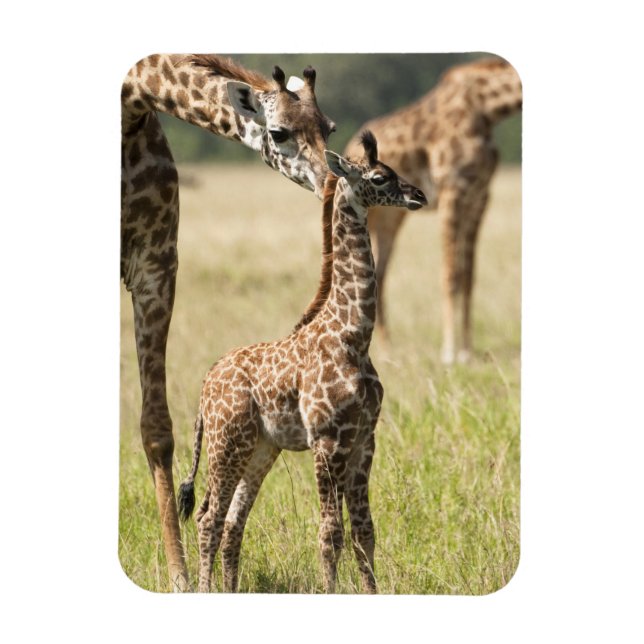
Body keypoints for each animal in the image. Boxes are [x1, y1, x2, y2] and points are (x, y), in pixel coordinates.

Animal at [121, 54, 335, 591]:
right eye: (279, 131)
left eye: (329, 127)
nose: (333, 179)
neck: (129, 107)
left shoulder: (155, 261)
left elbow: (157, 425)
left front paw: (178, 575)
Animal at [177, 131, 427, 593]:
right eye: (380, 178)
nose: (419, 195)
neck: (353, 335)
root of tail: (206, 383)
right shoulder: (327, 440)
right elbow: (330, 531)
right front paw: (330, 591)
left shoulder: (364, 439)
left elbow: (364, 530)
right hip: (226, 444)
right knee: (208, 518)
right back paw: (205, 588)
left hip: (260, 449)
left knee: (233, 522)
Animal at [345, 57, 522, 364]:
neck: (488, 108)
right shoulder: (452, 189)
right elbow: (451, 274)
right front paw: (449, 353)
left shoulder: (480, 196)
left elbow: (469, 277)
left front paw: (466, 351)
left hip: (390, 217)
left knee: (379, 274)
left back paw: (388, 352)